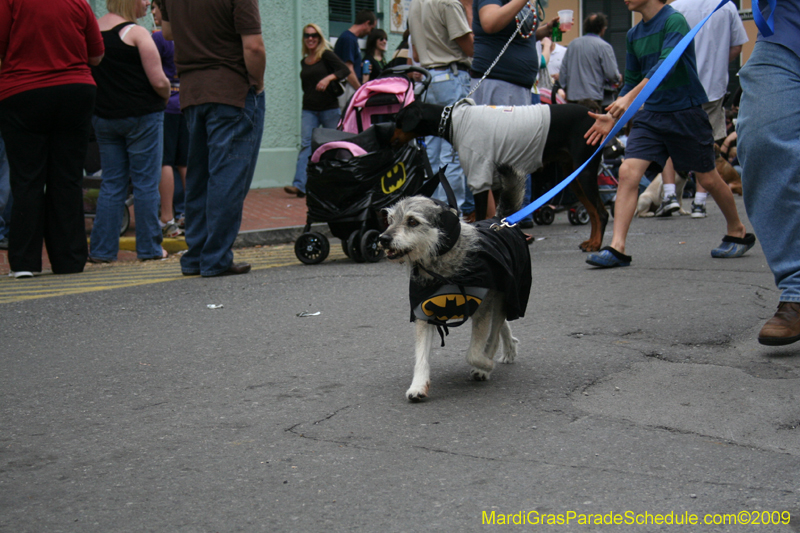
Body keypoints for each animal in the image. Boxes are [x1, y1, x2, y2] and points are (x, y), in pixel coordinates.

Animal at [380, 164, 532, 402]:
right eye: (390, 220)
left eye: (412, 222)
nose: (383, 239)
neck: (443, 264)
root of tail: (500, 219)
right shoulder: (424, 312)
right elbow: (421, 357)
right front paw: (418, 386)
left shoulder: (482, 310)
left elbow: (474, 352)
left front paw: (485, 365)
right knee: (503, 326)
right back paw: (510, 350)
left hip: (502, 297)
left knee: (496, 331)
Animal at [392, 101, 608, 252]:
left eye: (398, 121)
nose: (389, 139)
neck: (453, 121)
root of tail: (597, 118)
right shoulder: (497, 184)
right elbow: (498, 213)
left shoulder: (479, 179)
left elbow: (481, 216)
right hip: (573, 175)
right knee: (592, 212)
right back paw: (591, 241)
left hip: (585, 172)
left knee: (601, 212)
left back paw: (596, 245)